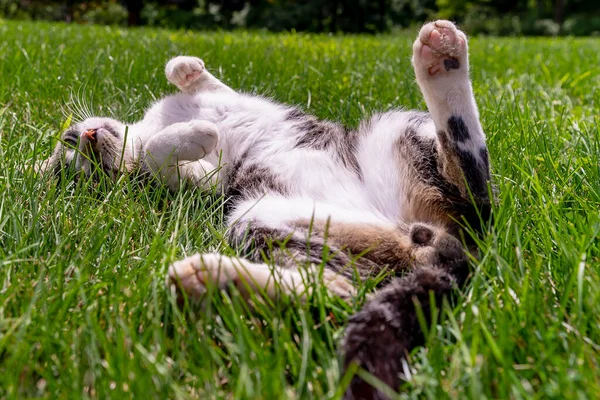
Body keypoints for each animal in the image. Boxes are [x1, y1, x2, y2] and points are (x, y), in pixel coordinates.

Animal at [41, 20, 492, 398]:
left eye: (69, 144)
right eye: (94, 176)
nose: (87, 138)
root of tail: (440, 247)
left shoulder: (220, 106)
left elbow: (202, 83)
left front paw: (187, 70)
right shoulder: (206, 185)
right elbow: (159, 155)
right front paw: (196, 133)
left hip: (392, 129)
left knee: (465, 174)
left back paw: (443, 59)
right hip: (257, 217)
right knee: (340, 287)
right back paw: (205, 277)